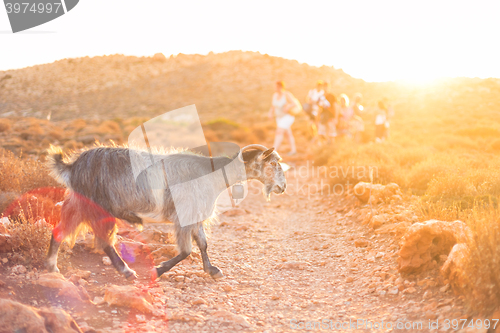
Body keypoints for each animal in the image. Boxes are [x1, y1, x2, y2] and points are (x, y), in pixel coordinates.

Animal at [45, 144, 288, 278]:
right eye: (273, 164)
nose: (282, 187)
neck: (213, 176)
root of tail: (73, 166)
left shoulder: (195, 216)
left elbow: (203, 244)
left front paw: (212, 270)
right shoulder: (184, 217)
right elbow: (186, 251)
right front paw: (158, 271)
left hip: (79, 204)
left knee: (60, 230)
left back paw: (51, 267)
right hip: (95, 206)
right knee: (103, 241)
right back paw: (126, 272)